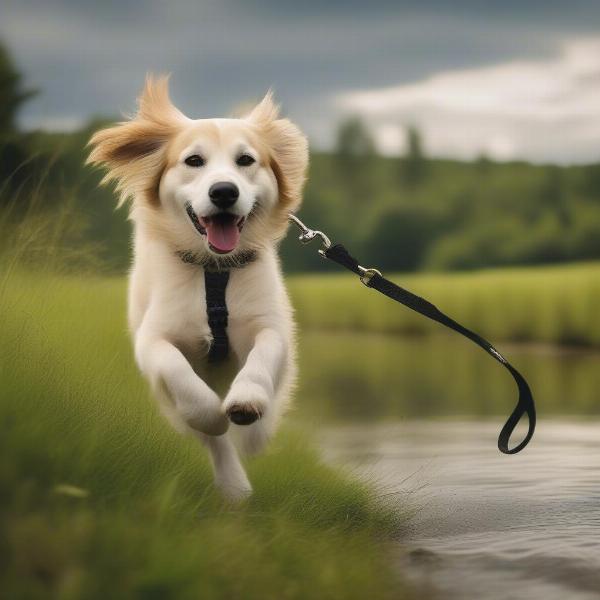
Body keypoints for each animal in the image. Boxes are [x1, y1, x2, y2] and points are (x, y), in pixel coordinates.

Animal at [89, 74, 310, 496]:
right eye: (194, 161)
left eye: (246, 160)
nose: (224, 191)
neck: (214, 272)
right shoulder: (153, 337)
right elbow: (177, 372)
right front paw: (210, 414)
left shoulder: (270, 323)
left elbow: (264, 353)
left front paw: (247, 402)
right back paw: (234, 484)